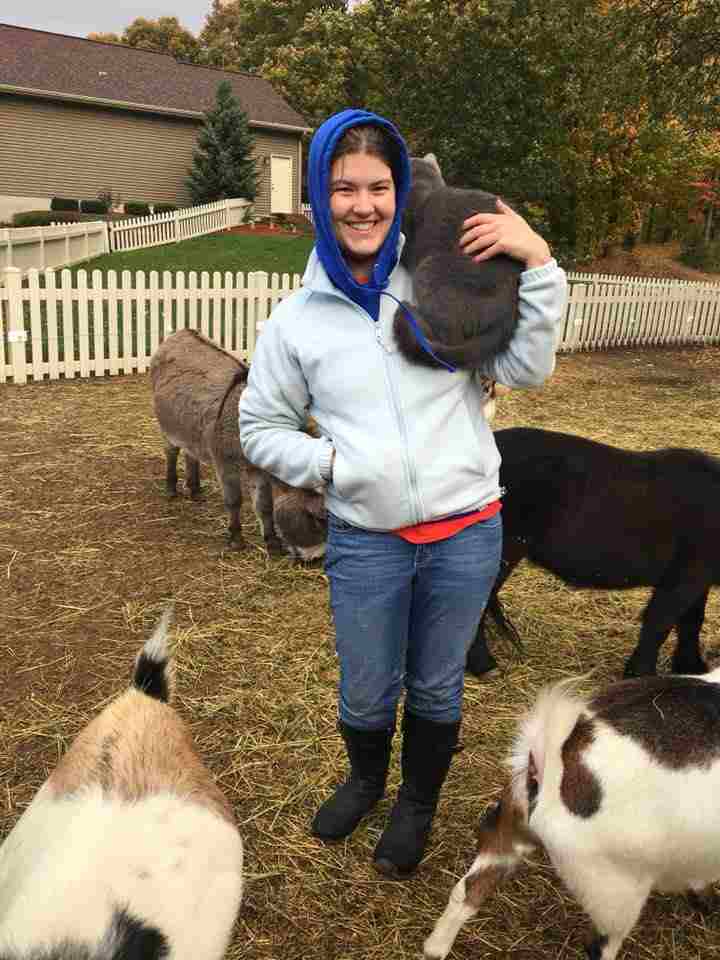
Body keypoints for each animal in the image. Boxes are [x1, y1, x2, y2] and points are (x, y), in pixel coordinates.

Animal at [150, 329, 326, 559]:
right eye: (316, 519)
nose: (317, 558)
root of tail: (182, 332)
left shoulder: (258, 470)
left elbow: (265, 506)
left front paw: (272, 542)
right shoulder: (225, 463)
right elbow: (234, 501)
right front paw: (236, 539)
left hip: (192, 427)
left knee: (191, 453)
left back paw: (195, 490)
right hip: (167, 427)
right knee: (171, 452)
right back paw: (171, 489)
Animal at [424, 668, 720, 960]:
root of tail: (551, 758)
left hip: (511, 831)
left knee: (468, 889)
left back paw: (435, 948)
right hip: (617, 889)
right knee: (600, 946)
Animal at [466, 426, 720, 679]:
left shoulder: (696, 579)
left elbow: (691, 621)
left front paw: (692, 668)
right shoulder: (684, 578)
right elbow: (660, 623)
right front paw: (640, 675)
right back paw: (484, 666)